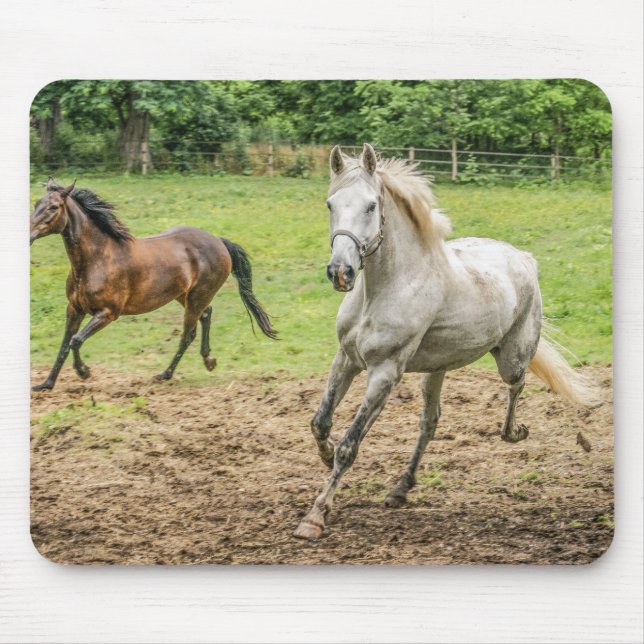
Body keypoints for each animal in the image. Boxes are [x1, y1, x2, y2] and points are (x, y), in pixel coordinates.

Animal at [30, 178, 277, 391]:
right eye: (36, 203)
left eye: (54, 207)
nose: (29, 235)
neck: (96, 259)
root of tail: (219, 241)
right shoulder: (74, 309)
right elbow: (64, 344)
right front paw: (46, 384)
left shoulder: (107, 313)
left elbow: (76, 340)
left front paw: (83, 372)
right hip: (184, 295)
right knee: (206, 315)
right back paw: (209, 360)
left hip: (197, 296)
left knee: (188, 333)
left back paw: (165, 374)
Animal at [294, 144, 597, 540]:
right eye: (330, 204)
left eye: (371, 206)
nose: (340, 272)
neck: (386, 288)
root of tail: (522, 257)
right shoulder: (346, 359)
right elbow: (320, 422)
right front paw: (325, 455)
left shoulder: (385, 373)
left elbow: (350, 444)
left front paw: (315, 516)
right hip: (434, 369)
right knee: (430, 422)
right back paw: (400, 489)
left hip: (512, 356)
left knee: (517, 384)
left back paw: (514, 433)